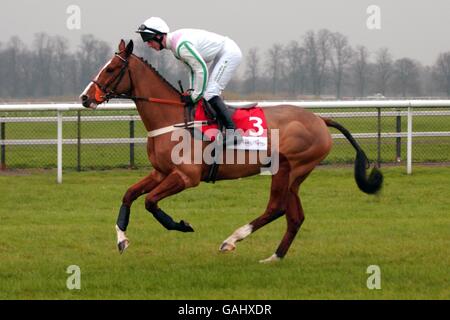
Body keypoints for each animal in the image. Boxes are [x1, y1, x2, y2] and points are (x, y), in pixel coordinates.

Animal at [79, 40, 382, 262]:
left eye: (110, 69)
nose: (84, 98)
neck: (171, 119)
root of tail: (320, 119)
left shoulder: (187, 177)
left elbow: (150, 202)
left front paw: (182, 225)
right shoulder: (160, 172)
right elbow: (129, 195)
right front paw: (121, 239)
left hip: (288, 168)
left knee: (276, 208)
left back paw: (231, 240)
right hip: (294, 175)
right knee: (294, 215)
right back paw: (274, 257)